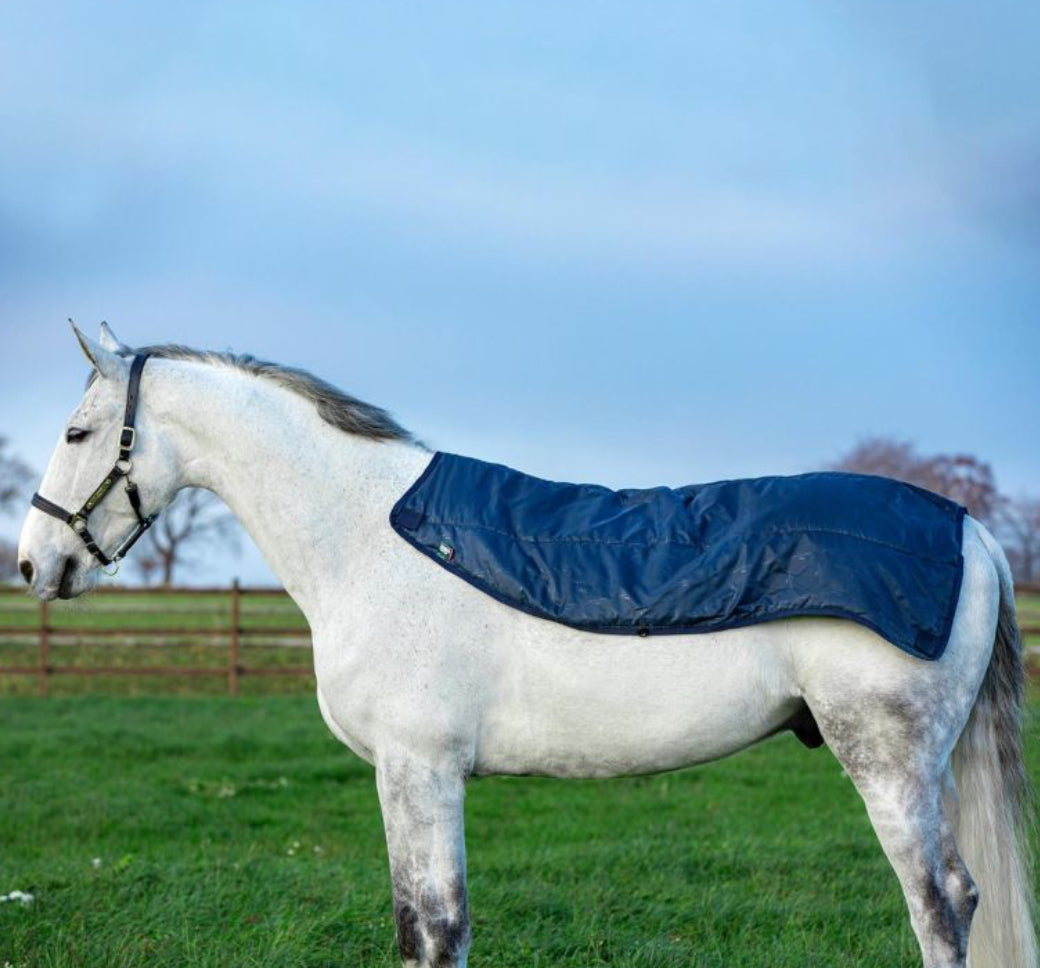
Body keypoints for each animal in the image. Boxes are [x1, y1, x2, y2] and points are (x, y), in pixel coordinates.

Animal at [17, 323, 1036, 968]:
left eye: (76, 430)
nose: (32, 563)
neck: (365, 537)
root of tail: (971, 532)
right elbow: (422, 927)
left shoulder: (418, 769)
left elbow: (433, 929)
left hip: (890, 763)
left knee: (941, 904)